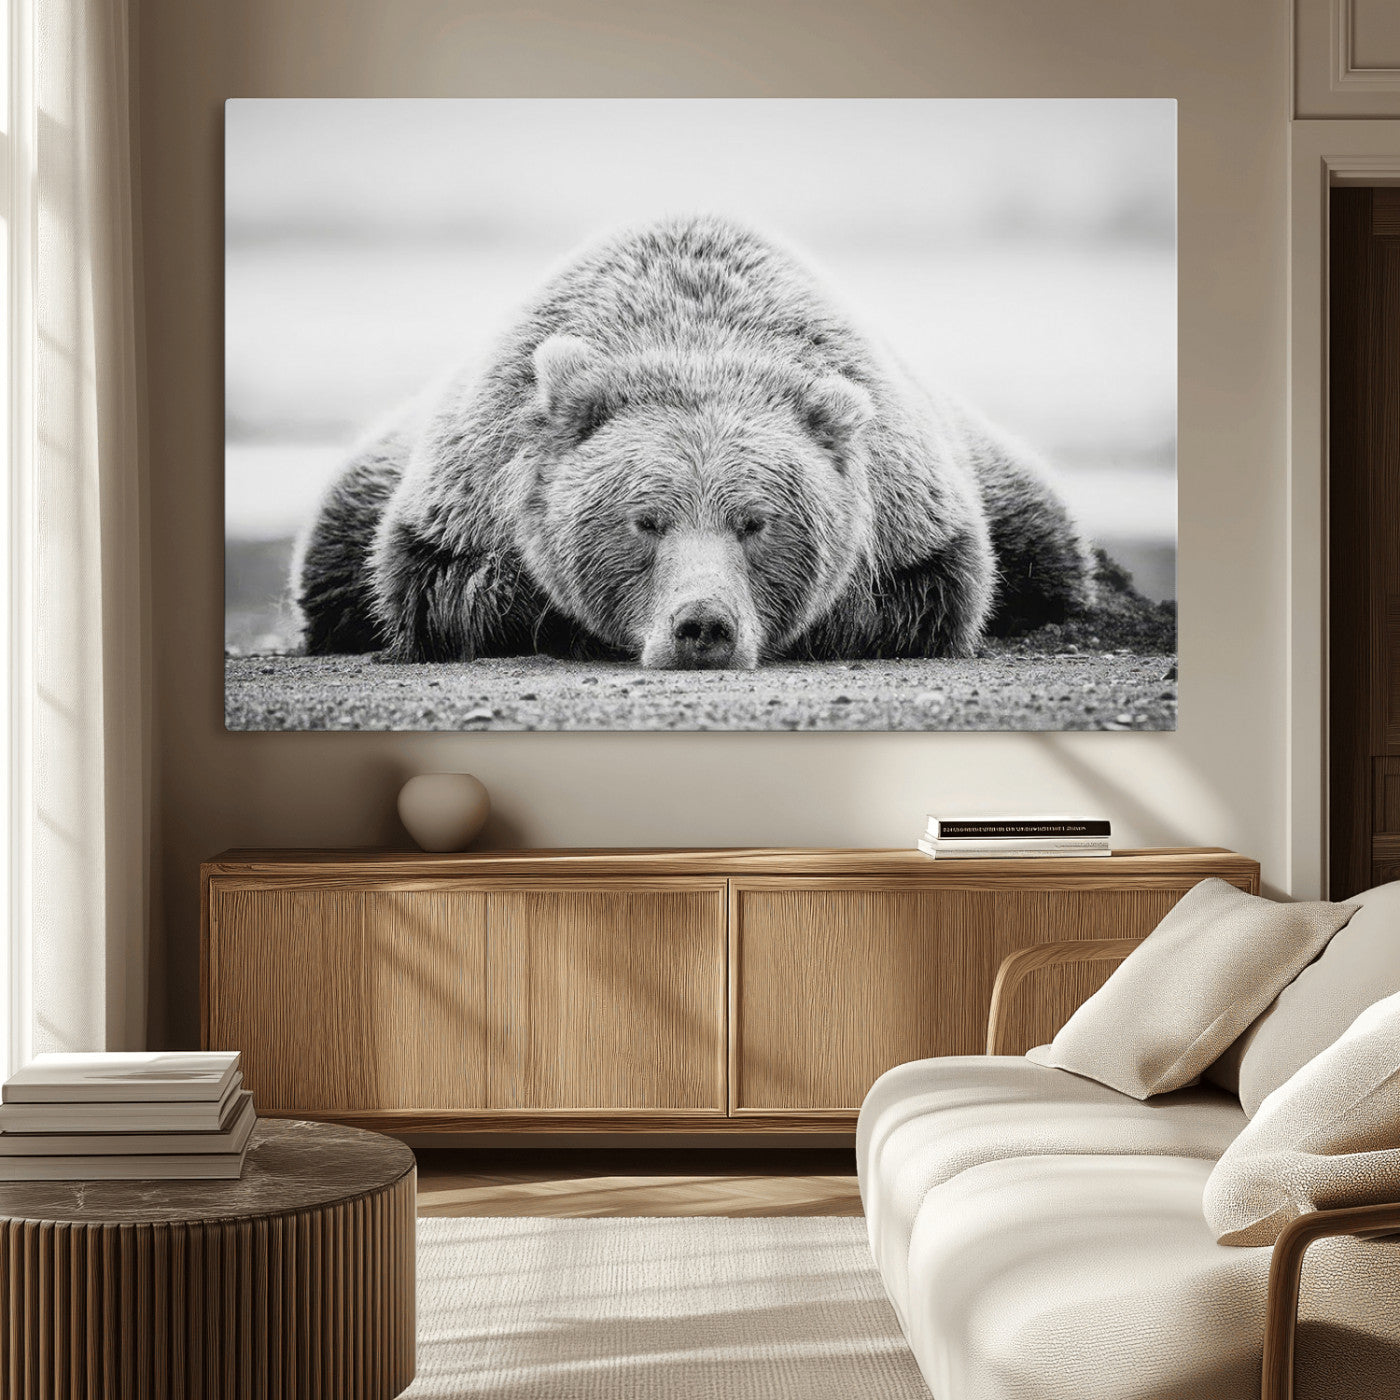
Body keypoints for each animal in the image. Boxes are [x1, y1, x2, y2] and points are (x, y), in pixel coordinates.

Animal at [295, 214, 1091, 669]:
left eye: (756, 522)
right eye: (645, 520)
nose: (702, 626)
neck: (696, 338)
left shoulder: (911, 515)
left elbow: (927, 593)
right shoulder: (465, 498)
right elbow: (446, 588)